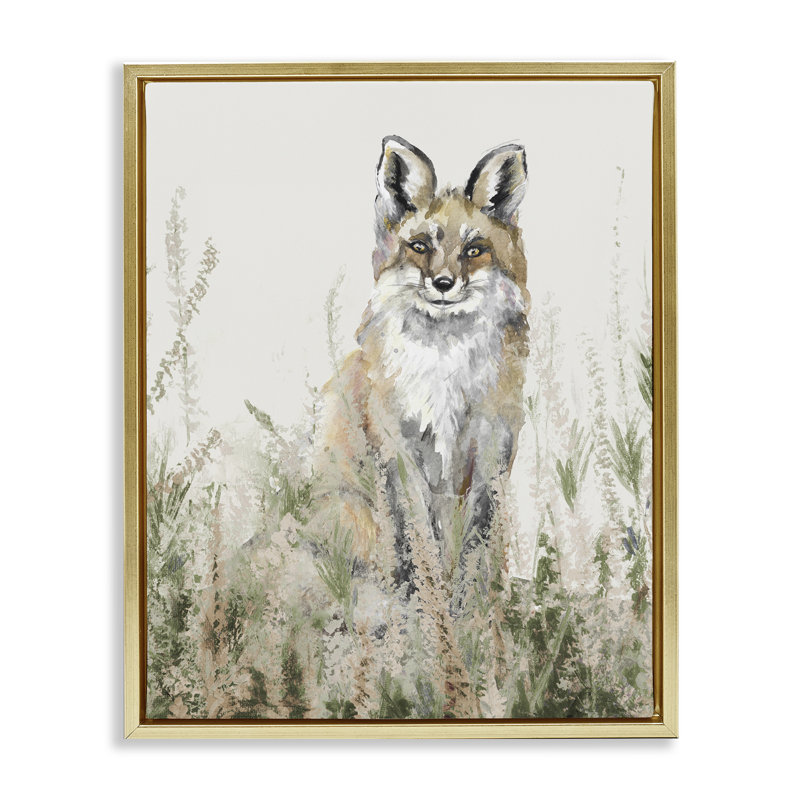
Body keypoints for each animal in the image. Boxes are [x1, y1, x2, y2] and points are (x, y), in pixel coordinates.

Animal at [313, 135, 529, 595]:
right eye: (420, 247)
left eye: (474, 250)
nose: (444, 284)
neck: (444, 370)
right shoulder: (397, 447)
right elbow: (419, 534)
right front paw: (430, 597)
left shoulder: (490, 446)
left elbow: (476, 539)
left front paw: (470, 599)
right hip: (351, 510)